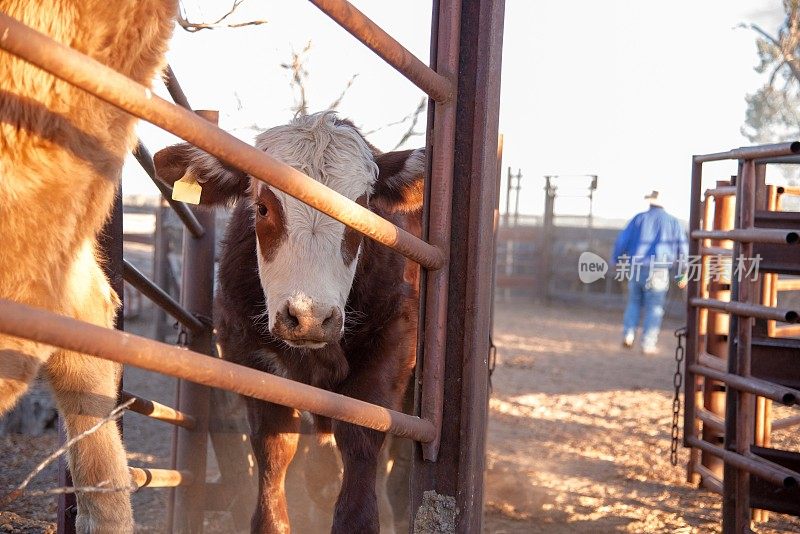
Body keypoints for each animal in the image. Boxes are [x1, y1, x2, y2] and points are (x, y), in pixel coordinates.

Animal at [152, 111, 424, 532]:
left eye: (364, 211)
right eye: (263, 208)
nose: (309, 317)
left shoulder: (394, 343)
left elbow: (362, 433)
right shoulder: (251, 355)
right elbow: (275, 445)